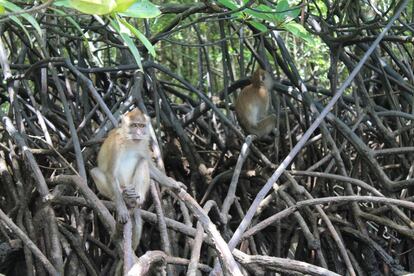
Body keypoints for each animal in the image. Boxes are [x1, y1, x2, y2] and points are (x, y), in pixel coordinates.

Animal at [90, 106, 150, 249]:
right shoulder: (116, 146)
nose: (138, 132)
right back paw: (123, 195)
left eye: (141, 126)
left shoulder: (144, 144)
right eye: (134, 125)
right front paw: (121, 209)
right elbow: (111, 173)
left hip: (132, 183)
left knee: (143, 161)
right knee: (95, 172)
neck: (130, 142)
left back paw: (137, 198)